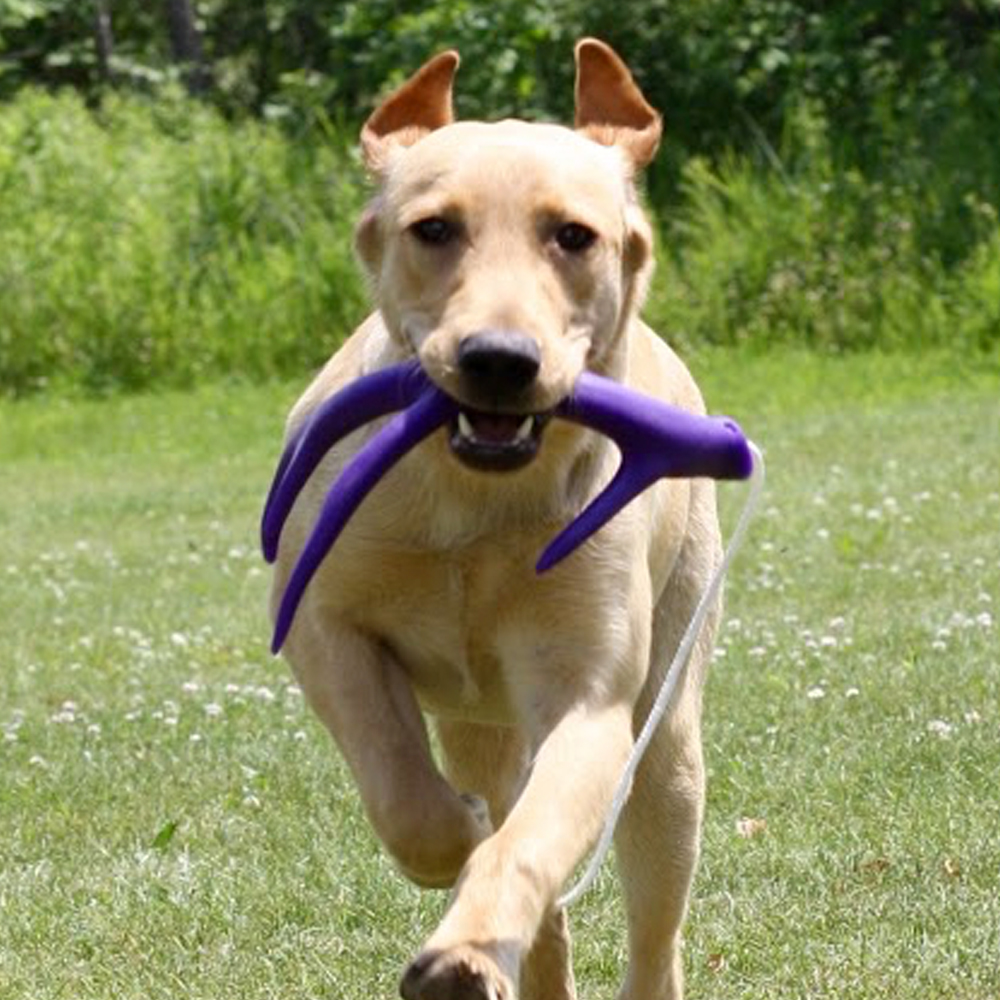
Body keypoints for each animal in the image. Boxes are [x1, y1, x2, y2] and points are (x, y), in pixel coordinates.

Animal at [274, 37, 724, 1000]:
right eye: (434, 228)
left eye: (574, 235)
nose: (499, 360)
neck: (471, 501)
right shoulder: (324, 627)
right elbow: (406, 794)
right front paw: (460, 831)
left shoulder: (590, 695)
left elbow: (526, 841)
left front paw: (466, 945)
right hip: (480, 723)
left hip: (668, 732)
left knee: (653, 919)